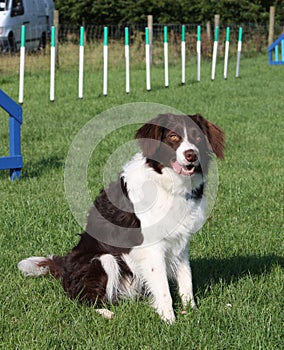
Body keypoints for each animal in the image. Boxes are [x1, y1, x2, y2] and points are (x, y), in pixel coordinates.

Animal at [18, 113, 225, 322]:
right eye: (173, 137)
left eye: (197, 136)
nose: (192, 155)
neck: (168, 184)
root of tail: (65, 265)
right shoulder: (152, 247)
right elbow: (164, 289)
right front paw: (169, 321)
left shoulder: (180, 241)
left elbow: (186, 280)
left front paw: (192, 313)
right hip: (104, 259)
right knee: (84, 298)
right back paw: (106, 312)